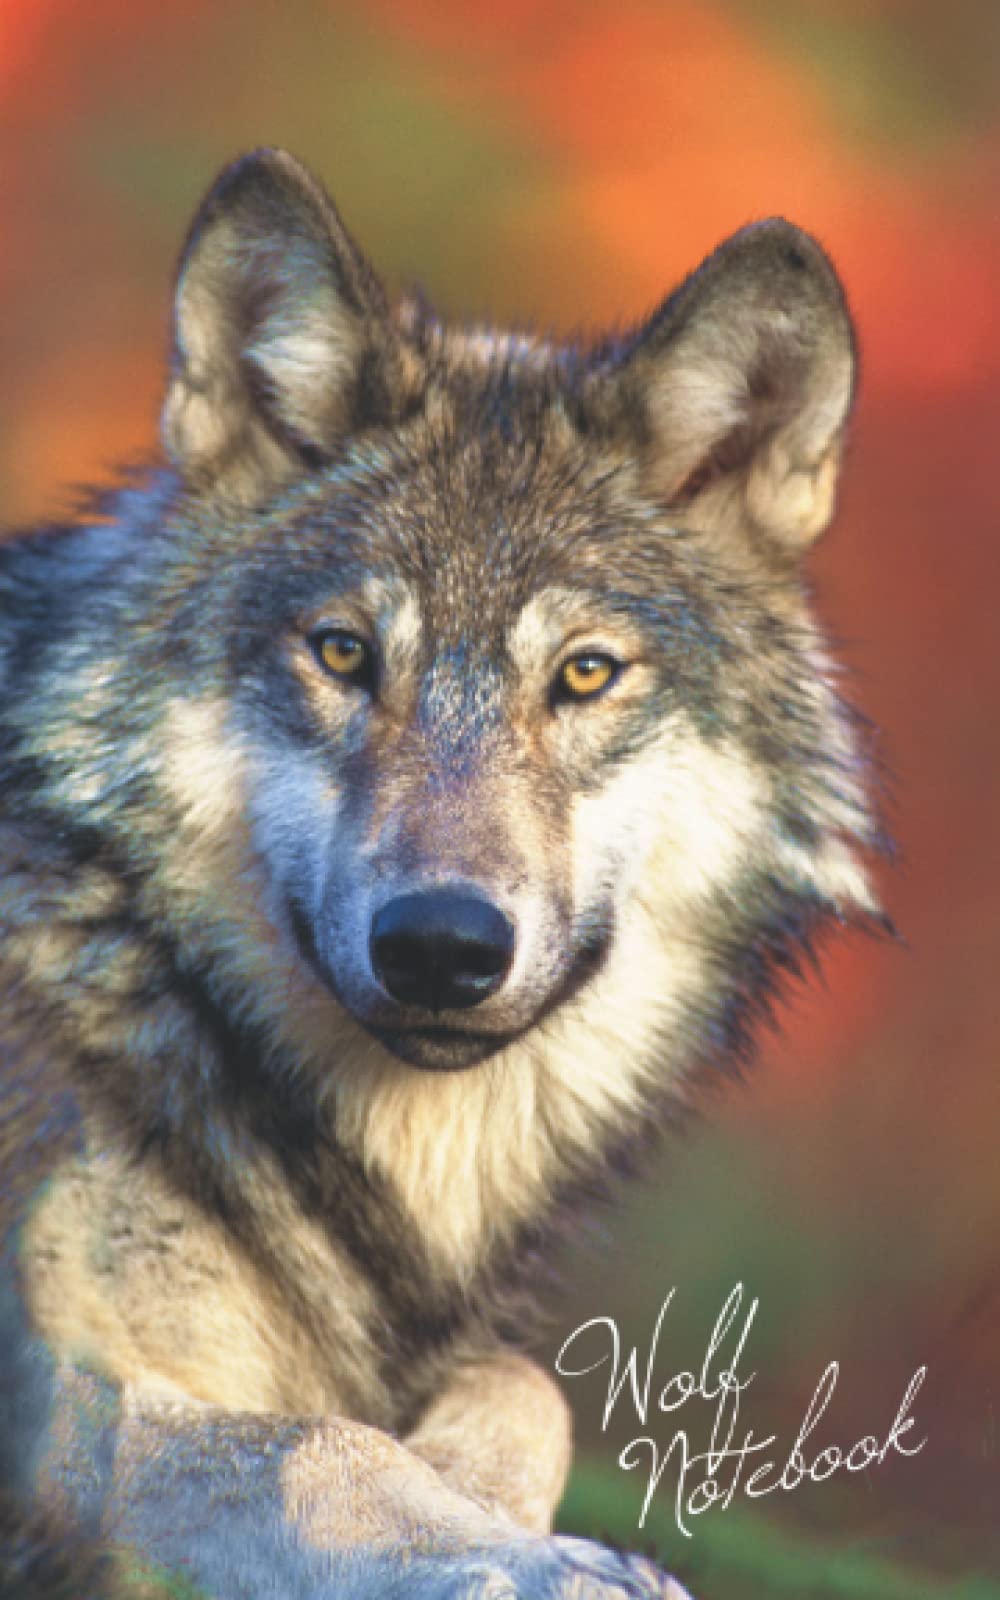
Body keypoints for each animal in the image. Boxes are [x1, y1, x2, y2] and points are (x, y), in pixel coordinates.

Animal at [0, 149, 881, 1598]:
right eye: (345, 654)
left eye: (584, 672)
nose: (440, 946)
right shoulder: (62, 1390)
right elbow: (317, 1442)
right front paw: (518, 1557)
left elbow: (527, 1386)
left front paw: (497, 1519)